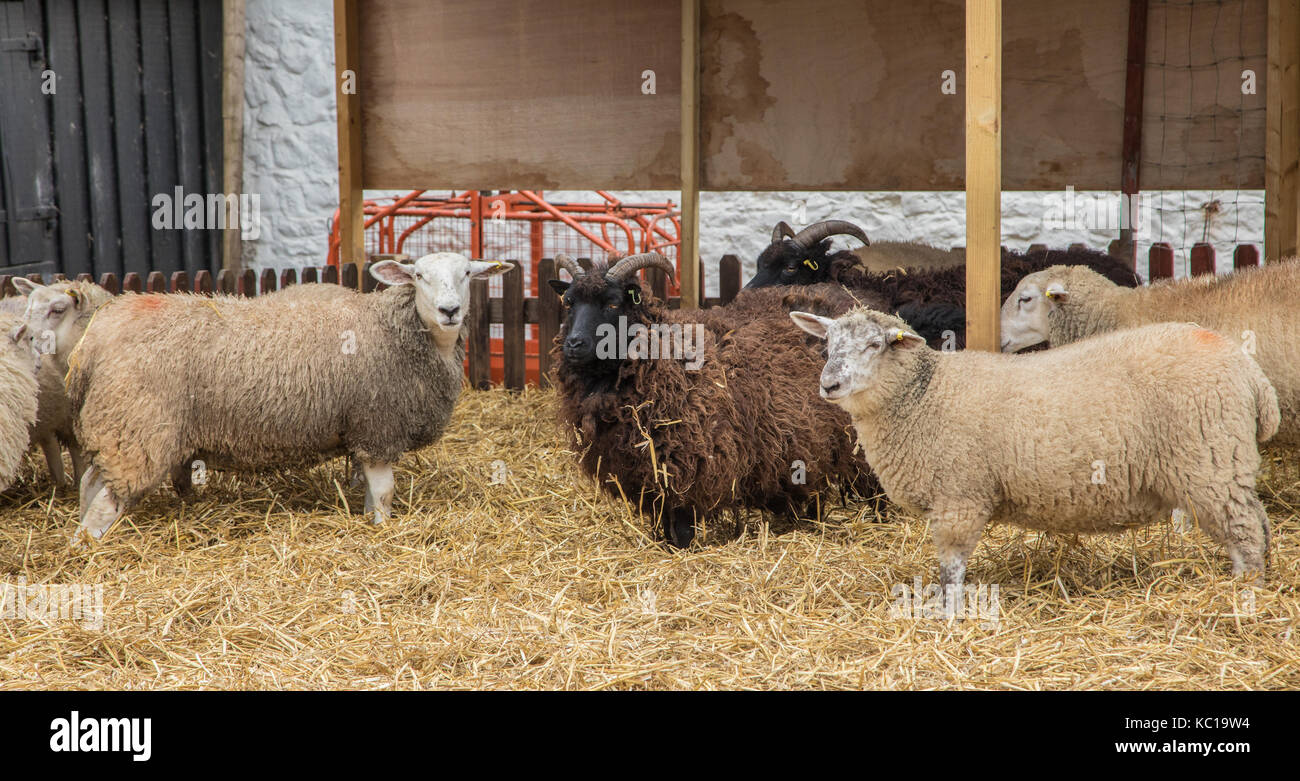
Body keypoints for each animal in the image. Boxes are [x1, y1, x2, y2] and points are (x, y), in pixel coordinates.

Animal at [543, 253, 878, 545]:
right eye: (569, 302)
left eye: (613, 302)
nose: (573, 344)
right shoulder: (647, 476)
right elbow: (662, 525)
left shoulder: (688, 467)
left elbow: (680, 531)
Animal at [790, 304, 1279, 589]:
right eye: (827, 343)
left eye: (875, 344)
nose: (828, 385)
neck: (925, 397)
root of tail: (1250, 373)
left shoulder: (959, 498)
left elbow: (951, 569)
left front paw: (947, 614)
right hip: (1221, 463)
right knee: (1258, 523)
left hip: (1211, 462)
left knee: (1246, 532)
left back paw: (1246, 593)